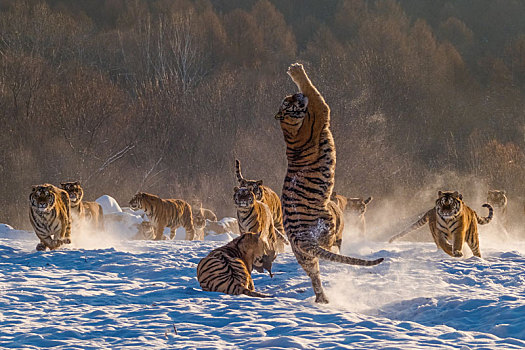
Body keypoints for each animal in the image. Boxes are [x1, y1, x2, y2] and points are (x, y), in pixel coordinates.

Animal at [276, 63, 382, 304]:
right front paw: (296, 70)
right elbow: (312, 90)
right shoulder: (320, 109)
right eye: (288, 101)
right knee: (332, 242)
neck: (289, 128)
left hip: (304, 256)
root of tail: (298, 236)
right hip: (327, 222)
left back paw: (322, 299)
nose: (294, 96)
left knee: (314, 274)